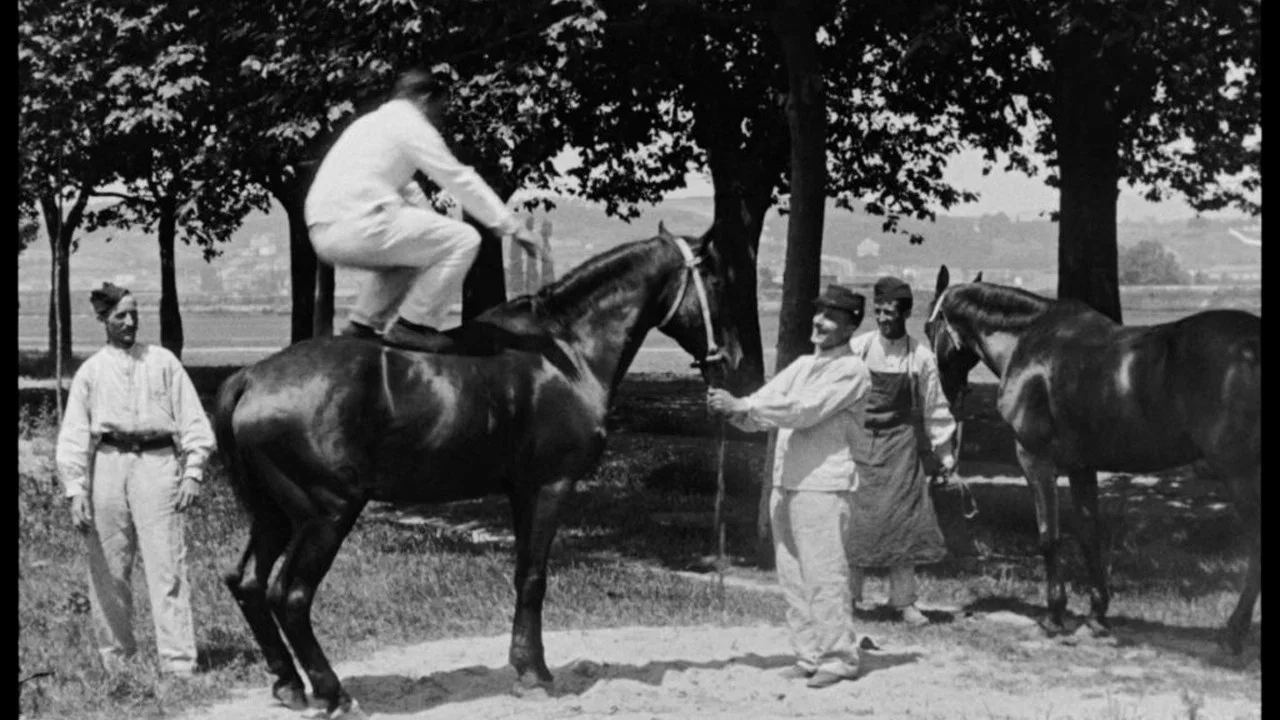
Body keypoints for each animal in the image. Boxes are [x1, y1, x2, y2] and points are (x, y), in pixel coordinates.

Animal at [213, 224, 746, 718]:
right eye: (717, 281)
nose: (734, 357)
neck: (565, 351)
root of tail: (252, 378)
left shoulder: (519, 491)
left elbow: (521, 573)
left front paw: (523, 665)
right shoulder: (549, 486)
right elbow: (533, 577)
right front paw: (535, 674)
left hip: (274, 515)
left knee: (248, 584)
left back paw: (289, 683)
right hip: (327, 515)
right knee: (291, 595)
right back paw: (332, 691)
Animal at [924, 266, 1260, 653]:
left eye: (928, 327)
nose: (946, 392)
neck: (1029, 344)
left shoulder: (1034, 459)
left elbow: (1049, 536)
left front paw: (1054, 617)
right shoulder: (1081, 466)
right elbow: (1089, 533)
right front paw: (1097, 617)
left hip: (1238, 472)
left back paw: (1233, 635)